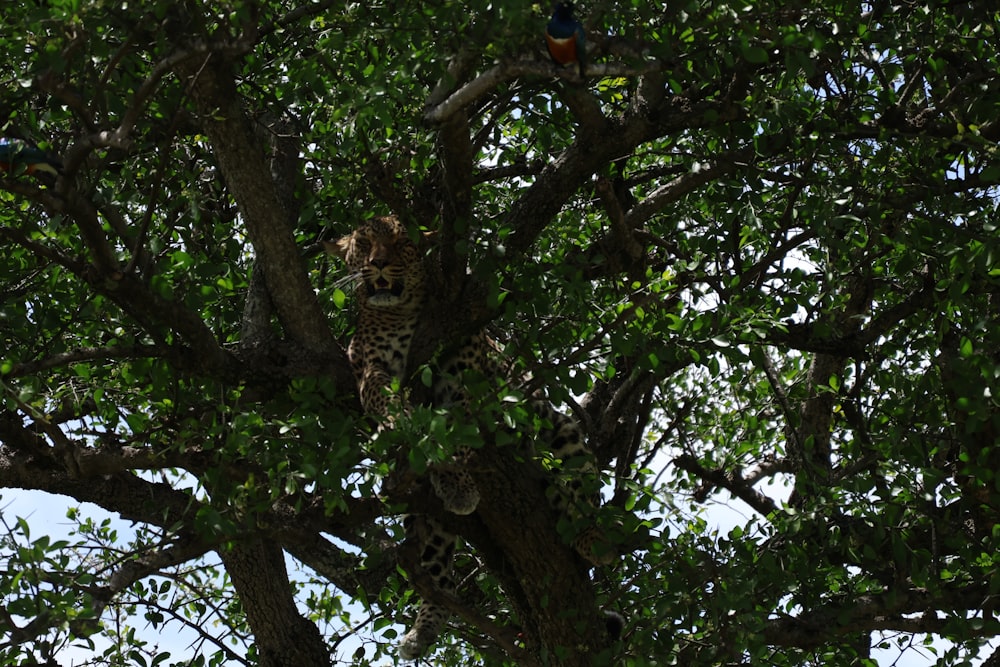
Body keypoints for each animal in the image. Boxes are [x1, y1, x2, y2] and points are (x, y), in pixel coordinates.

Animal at [328, 217, 612, 660]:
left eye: (402, 242)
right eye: (364, 243)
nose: (378, 263)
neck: (404, 313)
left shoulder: (462, 382)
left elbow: (455, 436)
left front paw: (458, 481)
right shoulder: (369, 365)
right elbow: (381, 397)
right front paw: (400, 423)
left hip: (559, 429)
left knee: (580, 484)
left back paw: (591, 537)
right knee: (438, 568)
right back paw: (423, 629)